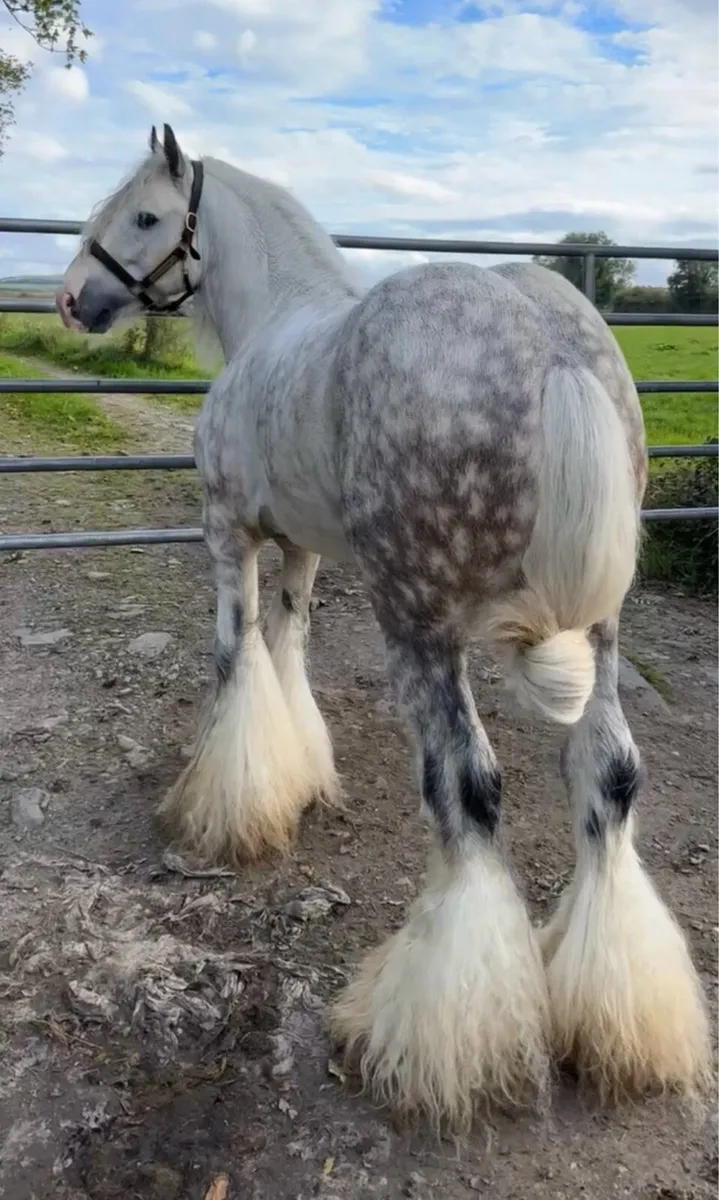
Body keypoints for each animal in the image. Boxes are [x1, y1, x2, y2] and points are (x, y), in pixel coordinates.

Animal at [56, 123, 710, 1131]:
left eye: (145, 216)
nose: (69, 299)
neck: (275, 320)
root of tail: (551, 345)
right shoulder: (304, 547)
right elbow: (287, 647)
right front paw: (297, 776)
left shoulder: (228, 531)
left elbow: (235, 655)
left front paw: (228, 807)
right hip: (602, 631)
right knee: (608, 778)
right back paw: (613, 1021)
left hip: (420, 623)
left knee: (467, 794)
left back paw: (437, 1043)